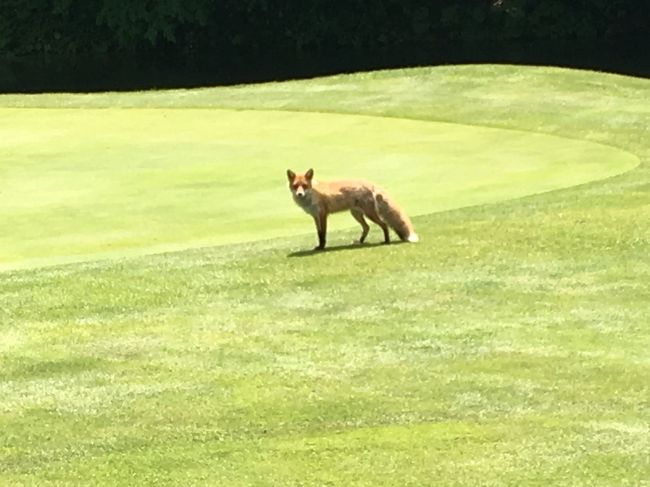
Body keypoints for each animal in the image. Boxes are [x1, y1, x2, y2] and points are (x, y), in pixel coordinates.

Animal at [286, 169, 418, 252]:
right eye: (295, 186)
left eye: (304, 185)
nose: (299, 194)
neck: (313, 194)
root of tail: (370, 183)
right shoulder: (315, 216)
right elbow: (319, 233)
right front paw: (319, 246)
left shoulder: (323, 214)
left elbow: (323, 234)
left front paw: (322, 247)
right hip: (356, 214)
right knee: (367, 227)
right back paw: (360, 242)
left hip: (369, 214)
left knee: (384, 225)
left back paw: (386, 241)